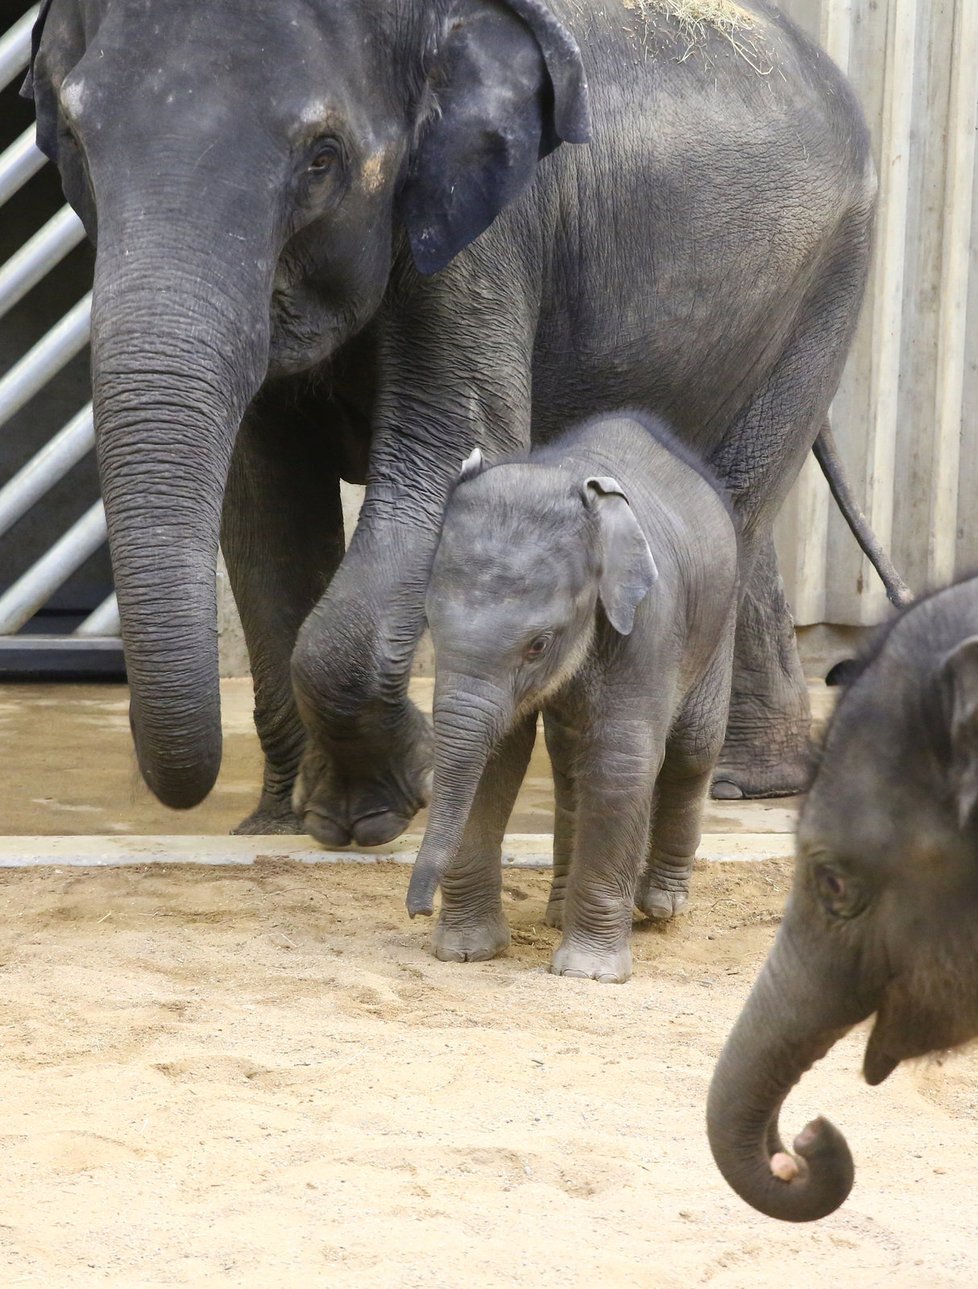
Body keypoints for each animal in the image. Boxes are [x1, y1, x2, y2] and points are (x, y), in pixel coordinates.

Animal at [24, 0, 881, 835]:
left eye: (322, 158)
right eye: (75, 141)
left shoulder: (489, 234)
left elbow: (449, 449)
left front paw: (390, 794)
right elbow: (264, 499)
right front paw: (283, 824)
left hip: (831, 282)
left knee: (736, 503)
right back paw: (746, 783)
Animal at [407, 412, 742, 984]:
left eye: (539, 644)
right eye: (430, 622)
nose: (417, 910)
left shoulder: (647, 624)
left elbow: (619, 763)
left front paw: (589, 974)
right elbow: (493, 761)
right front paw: (467, 953)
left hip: (719, 620)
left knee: (692, 750)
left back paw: (661, 908)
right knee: (569, 768)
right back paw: (560, 911)